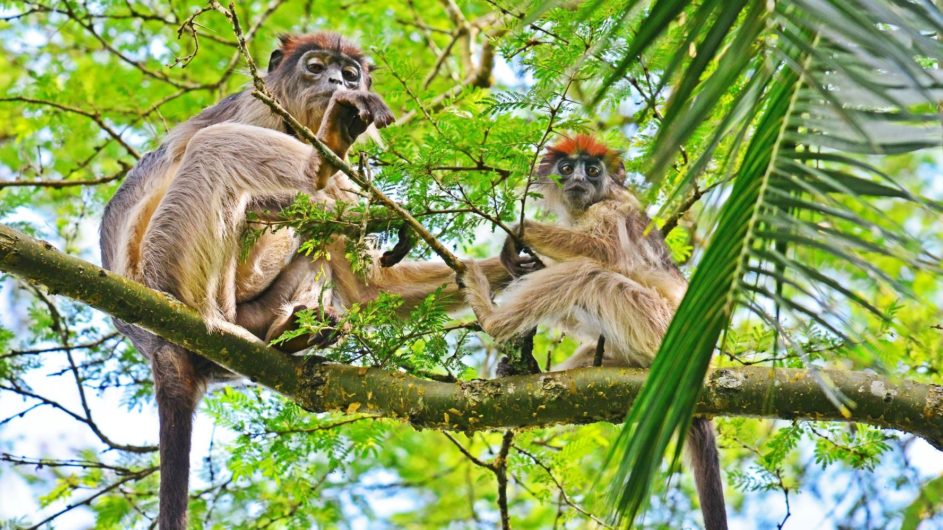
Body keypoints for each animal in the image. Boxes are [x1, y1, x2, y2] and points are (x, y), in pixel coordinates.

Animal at [101, 34, 508, 528]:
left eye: (350, 73)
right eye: (316, 67)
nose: (337, 82)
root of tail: (155, 342)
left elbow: (369, 290)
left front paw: (520, 262)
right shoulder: (257, 109)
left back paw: (290, 332)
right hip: (169, 266)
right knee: (218, 148)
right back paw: (321, 162)